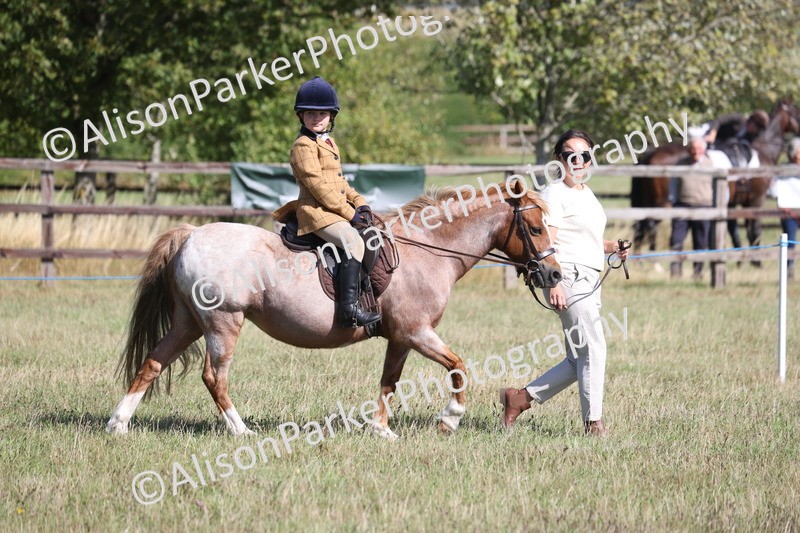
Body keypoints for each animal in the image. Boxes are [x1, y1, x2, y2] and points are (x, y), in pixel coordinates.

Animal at [105, 181, 562, 440]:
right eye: (535, 228)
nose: (554, 274)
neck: (427, 250)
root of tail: (192, 233)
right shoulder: (416, 332)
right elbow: (459, 367)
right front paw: (449, 420)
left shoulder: (400, 338)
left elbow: (389, 382)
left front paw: (381, 431)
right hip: (222, 323)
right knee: (214, 378)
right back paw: (241, 430)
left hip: (188, 323)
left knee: (153, 363)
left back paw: (119, 424)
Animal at [630, 100, 800, 254]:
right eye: (796, 112)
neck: (763, 150)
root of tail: (650, 153)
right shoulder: (755, 200)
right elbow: (754, 231)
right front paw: (755, 260)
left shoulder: (732, 203)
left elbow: (734, 230)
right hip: (662, 203)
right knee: (651, 225)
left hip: (647, 200)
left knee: (641, 225)